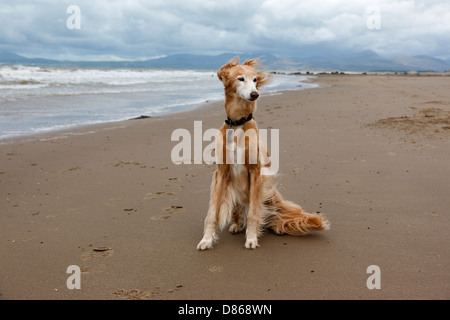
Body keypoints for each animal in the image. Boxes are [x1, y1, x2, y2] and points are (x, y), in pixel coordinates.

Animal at [195, 56, 328, 250]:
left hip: (269, 195)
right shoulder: (221, 172)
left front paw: (251, 238)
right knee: (241, 213)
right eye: (240, 78)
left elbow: (254, 213)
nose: (254, 94)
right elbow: (212, 213)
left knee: (274, 215)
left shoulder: (255, 171)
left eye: (255, 79)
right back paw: (236, 224)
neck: (238, 123)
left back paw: (277, 226)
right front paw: (206, 239)